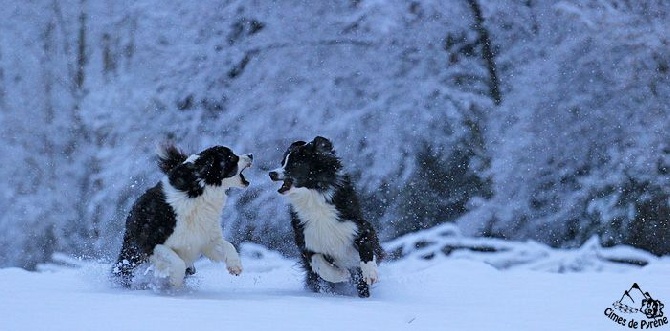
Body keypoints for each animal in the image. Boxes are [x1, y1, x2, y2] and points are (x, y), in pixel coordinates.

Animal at [111, 144, 253, 290]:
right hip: (131, 250)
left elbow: (228, 245)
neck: (199, 191)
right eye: (231, 157)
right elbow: (177, 262)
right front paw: (175, 283)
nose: (251, 155)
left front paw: (235, 266)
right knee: (123, 267)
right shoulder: (150, 242)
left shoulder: (206, 238)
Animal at [268, 137, 384, 298]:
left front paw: (370, 273)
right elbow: (318, 263)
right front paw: (341, 274)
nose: (271, 174)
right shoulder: (305, 239)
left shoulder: (357, 225)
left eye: (294, 163)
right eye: (282, 162)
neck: (313, 197)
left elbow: (366, 244)